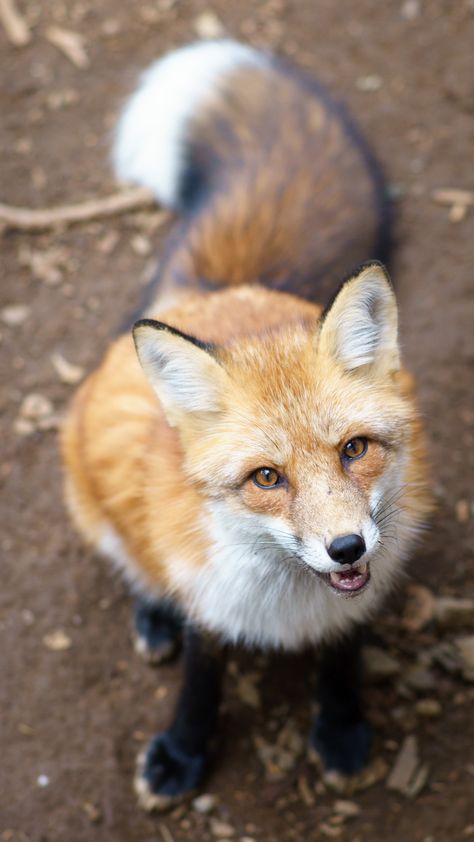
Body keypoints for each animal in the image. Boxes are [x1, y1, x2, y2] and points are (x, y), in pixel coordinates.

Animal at [60, 37, 434, 808]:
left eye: (355, 449)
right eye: (267, 478)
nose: (347, 548)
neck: (291, 604)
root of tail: (221, 289)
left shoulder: (354, 604)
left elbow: (342, 664)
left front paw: (341, 731)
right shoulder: (208, 605)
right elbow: (200, 687)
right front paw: (182, 753)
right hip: (94, 502)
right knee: (133, 564)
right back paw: (153, 613)